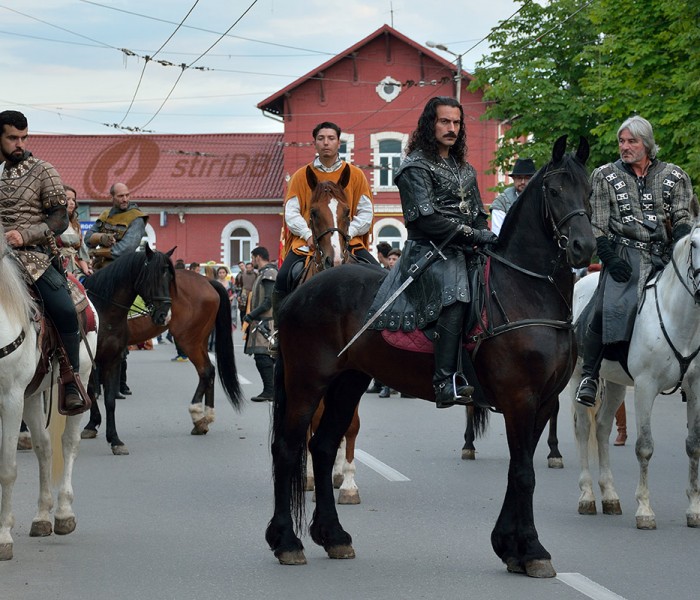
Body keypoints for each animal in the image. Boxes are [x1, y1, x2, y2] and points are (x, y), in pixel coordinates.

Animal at [0, 232, 99, 560]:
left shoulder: (10, 398)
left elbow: (7, 469)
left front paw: (3, 537)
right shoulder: (19, 398)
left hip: (80, 381)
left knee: (68, 444)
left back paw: (63, 513)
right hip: (32, 394)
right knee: (43, 447)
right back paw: (42, 517)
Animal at [126, 272, 243, 436]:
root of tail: (206, 280)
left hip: (188, 340)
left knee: (206, 370)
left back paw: (198, 416)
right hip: (200, 339)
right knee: (209, 371)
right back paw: (206, 418)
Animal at [266, 136, 592, 576]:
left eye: (589, 190)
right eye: (555, 191)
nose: (584, 247)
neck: (525, 289)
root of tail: (301, 293)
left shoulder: (541, 403)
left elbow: (516, 469)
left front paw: (509, 546)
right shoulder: (520, 399)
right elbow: (524, 473)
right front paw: (532, 549)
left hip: (347, 382)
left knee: (323, 444)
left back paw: (333, 536)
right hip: (306, 382)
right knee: (288, 448)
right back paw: (287, 541)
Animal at [572, 225, 700, 528]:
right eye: (695, 244)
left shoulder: (695, 387)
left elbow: (693, 446)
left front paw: (694, 509)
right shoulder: (645, 387)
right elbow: (644, 446)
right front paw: (644, 510)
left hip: (616, 384)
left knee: (603, 427)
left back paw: (610, 496)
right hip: (576, 376)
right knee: (584, 429)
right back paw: (587, 496)